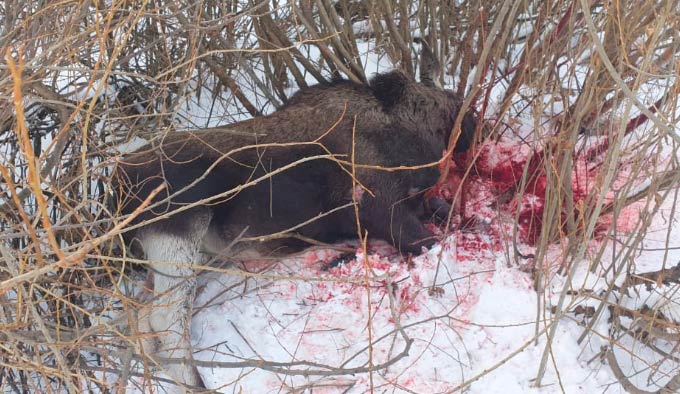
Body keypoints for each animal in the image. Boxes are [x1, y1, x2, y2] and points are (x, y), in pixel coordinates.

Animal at [111, 47, 476, 390]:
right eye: (449, 102)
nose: (473, 121)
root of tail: (117, 182)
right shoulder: (384, 211)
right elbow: (432, 240)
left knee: (142, 316)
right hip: (179, 236)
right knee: (165, 321)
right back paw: (197, 384)